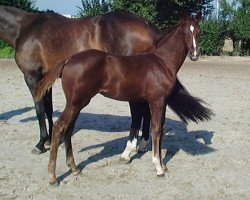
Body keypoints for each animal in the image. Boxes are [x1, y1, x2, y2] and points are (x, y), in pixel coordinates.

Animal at [0, 5, 211, 154]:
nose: (195, 53)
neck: (25, 29)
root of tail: (145, 24)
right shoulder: (45, 78)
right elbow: (49, 108)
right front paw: (53, 138)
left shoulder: (32, 77)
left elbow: (40, 110)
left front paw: (41, 143)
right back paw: (142, 144)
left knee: (139, 111)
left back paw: (134, 147)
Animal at [34, 12, 204, 185]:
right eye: (185, 32)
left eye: (199, 31)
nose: (194, 54)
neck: (161, 61)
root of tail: (69, 60)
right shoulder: (156, 100)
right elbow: (156, 130)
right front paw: (158, 168)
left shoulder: (161, 101)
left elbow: (161, 129)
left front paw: (163, 165)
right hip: (74, 103)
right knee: (59, 127)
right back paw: (53, 176)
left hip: (77, 104)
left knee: (68, 130)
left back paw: (74, 169)